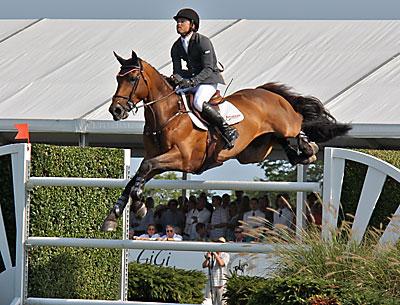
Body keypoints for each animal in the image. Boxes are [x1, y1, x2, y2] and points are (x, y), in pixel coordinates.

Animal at [101, 50, 350, 230]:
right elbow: (136, 177)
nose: (116, 110)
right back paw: (305, 152)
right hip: (254, 151)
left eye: (133, 78)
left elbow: (144, 167)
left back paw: (310, 149)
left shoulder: (182, 159)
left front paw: (139, 206)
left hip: (284, 125)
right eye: (117, 78)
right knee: (283, 143)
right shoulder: (160, 159)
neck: (167, 115)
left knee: (297, 127)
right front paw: (114, 216)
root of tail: (270, 93)